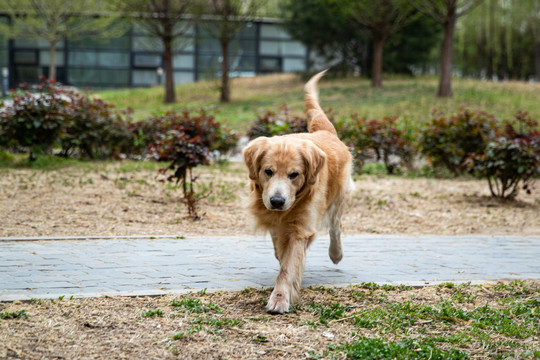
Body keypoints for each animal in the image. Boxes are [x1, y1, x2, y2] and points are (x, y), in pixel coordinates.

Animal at [242, 69, 354, 312]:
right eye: (268, 171)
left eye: (294, 174)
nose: (276, 201)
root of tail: (326, 131)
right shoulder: (275, 221)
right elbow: (280, 250)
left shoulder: (301, 228)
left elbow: (288, 266)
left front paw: (280, 297)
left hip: (339, 197)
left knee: (336, 225)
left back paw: (336, 253)